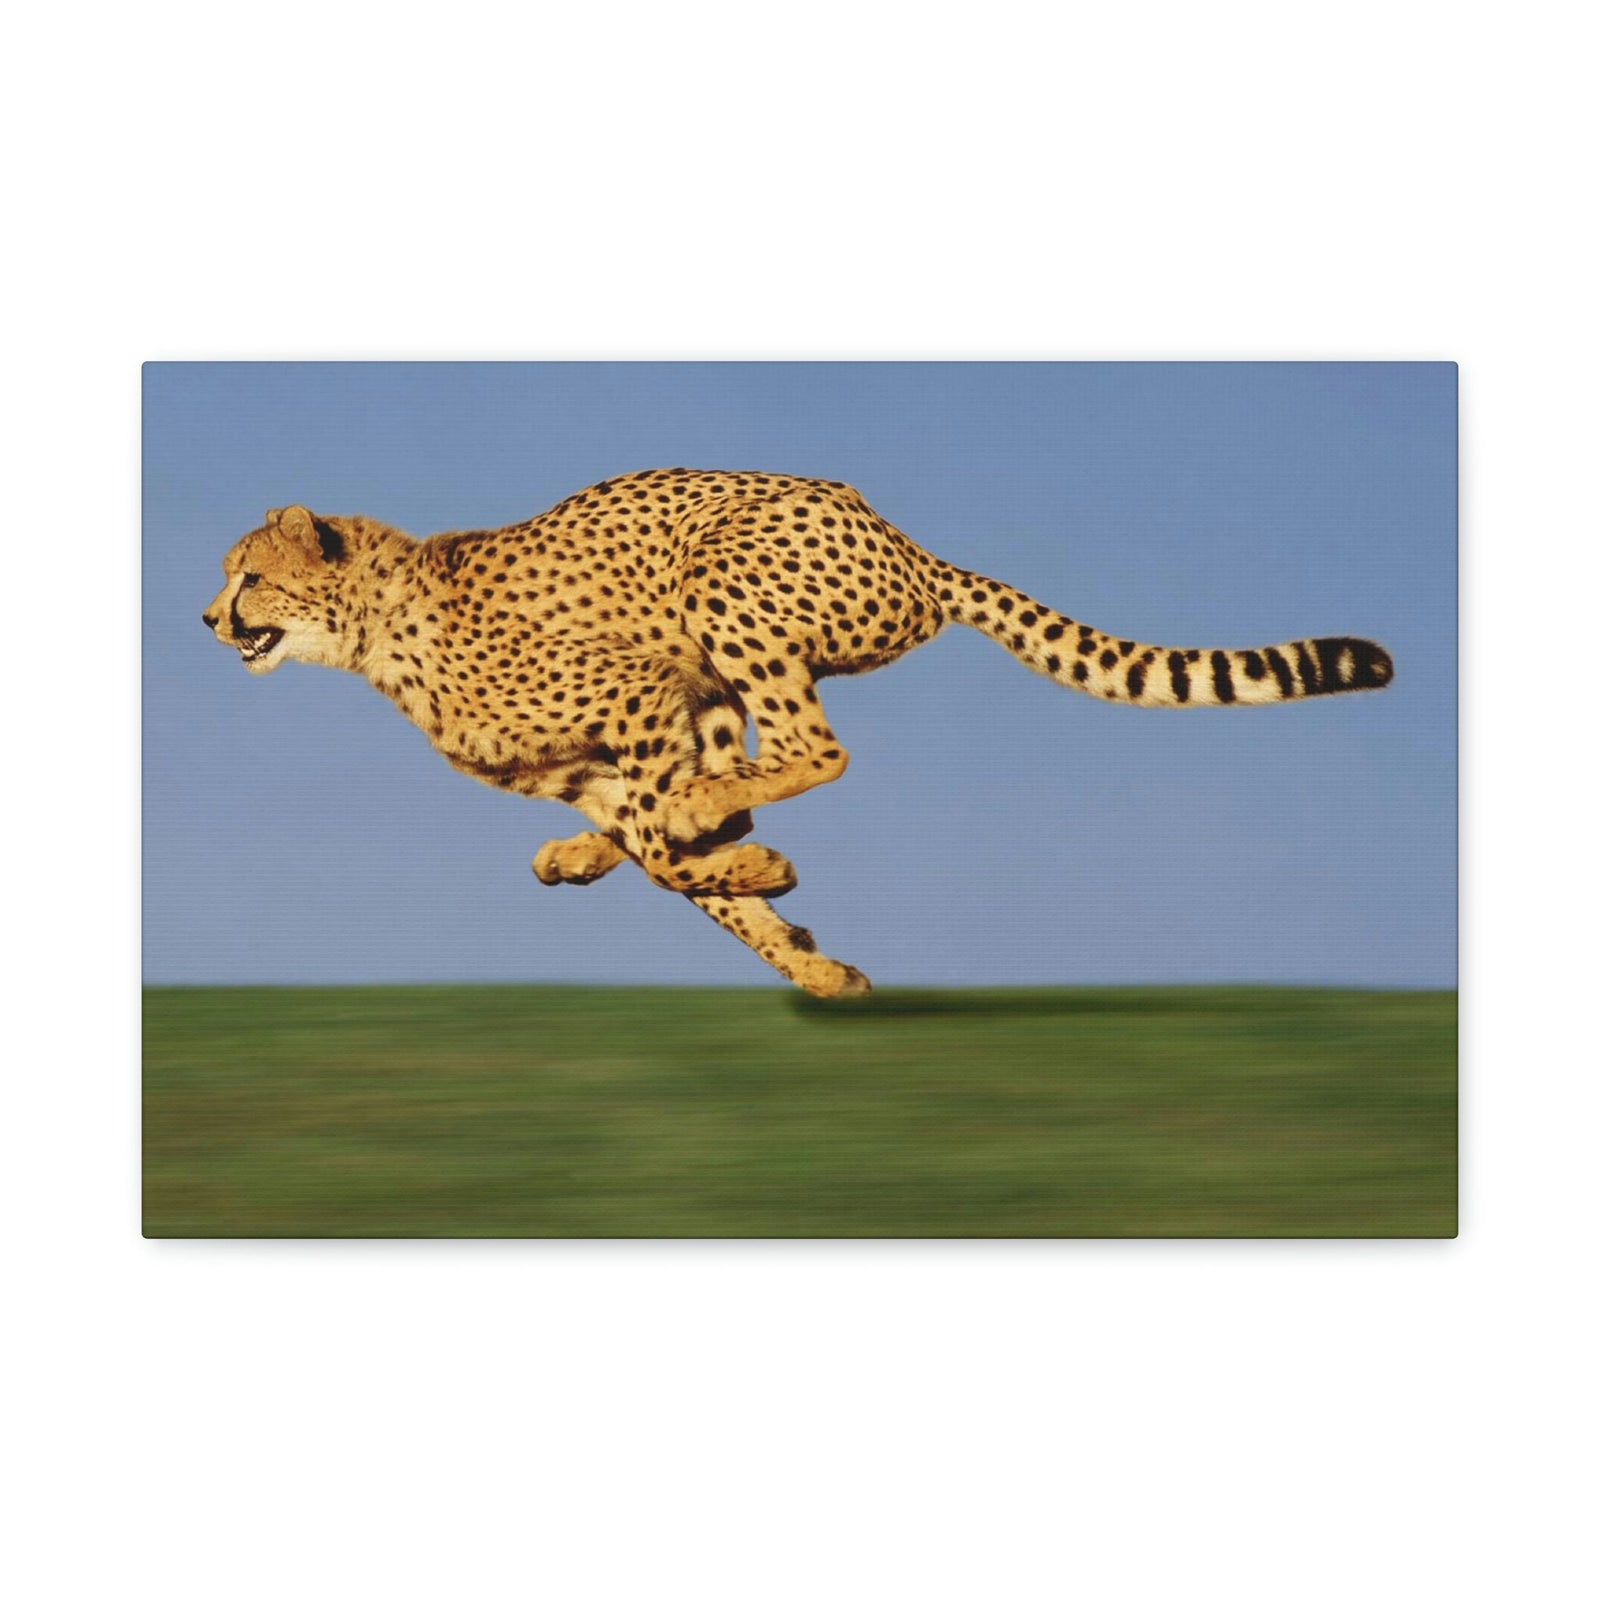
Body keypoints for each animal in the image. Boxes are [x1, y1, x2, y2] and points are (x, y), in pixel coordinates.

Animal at [204, 468, 1394, 997]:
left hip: (720, 585)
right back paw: (591, 854)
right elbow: (672, 863)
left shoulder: (639, 693)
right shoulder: (615, 750)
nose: (208, 618)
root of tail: (905, 541)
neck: (377, 627)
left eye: (248, 576)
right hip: (721, 674)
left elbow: (672, 847)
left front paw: (767, 883)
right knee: (751, 764)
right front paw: (811, 960)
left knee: (815, 750)